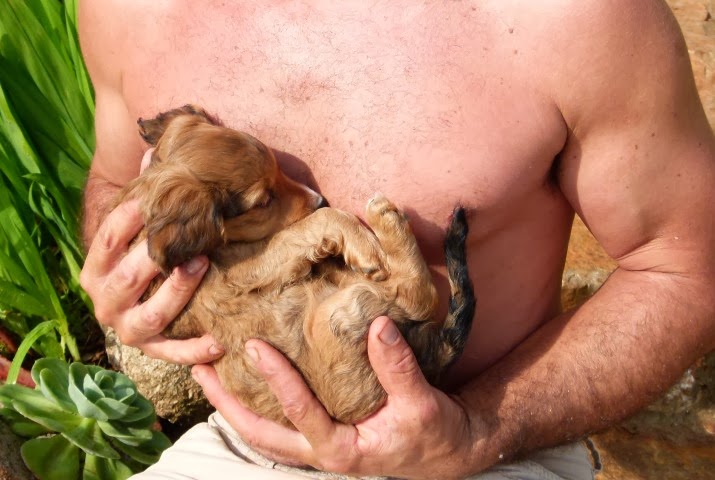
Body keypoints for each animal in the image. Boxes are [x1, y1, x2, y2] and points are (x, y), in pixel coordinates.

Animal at [118, 105, 476, 426]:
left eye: (279, 167)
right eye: (263, 201)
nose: (320, 199)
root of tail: (430, 359)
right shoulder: (241, 271)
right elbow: (315, 225)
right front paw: (362, 245)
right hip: (335, 320)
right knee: (418, 295)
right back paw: (385, 218)